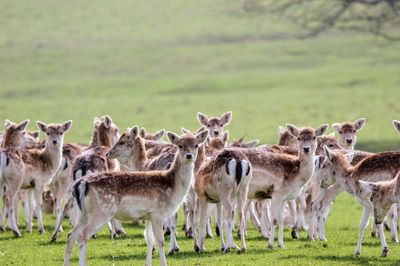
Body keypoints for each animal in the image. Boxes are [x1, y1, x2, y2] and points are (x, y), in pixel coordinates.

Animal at [63, 129, 208, 266]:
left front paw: (147, 263)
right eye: (180, 145)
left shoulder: (148, 216)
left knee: (71, 235)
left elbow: (150, 240)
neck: (173, 187)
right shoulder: (158, 213)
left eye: (196, 145)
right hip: (101, 212)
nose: (189, 155)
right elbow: (160, 241)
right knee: (82, 236)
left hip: (85, 214)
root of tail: (81, 183)